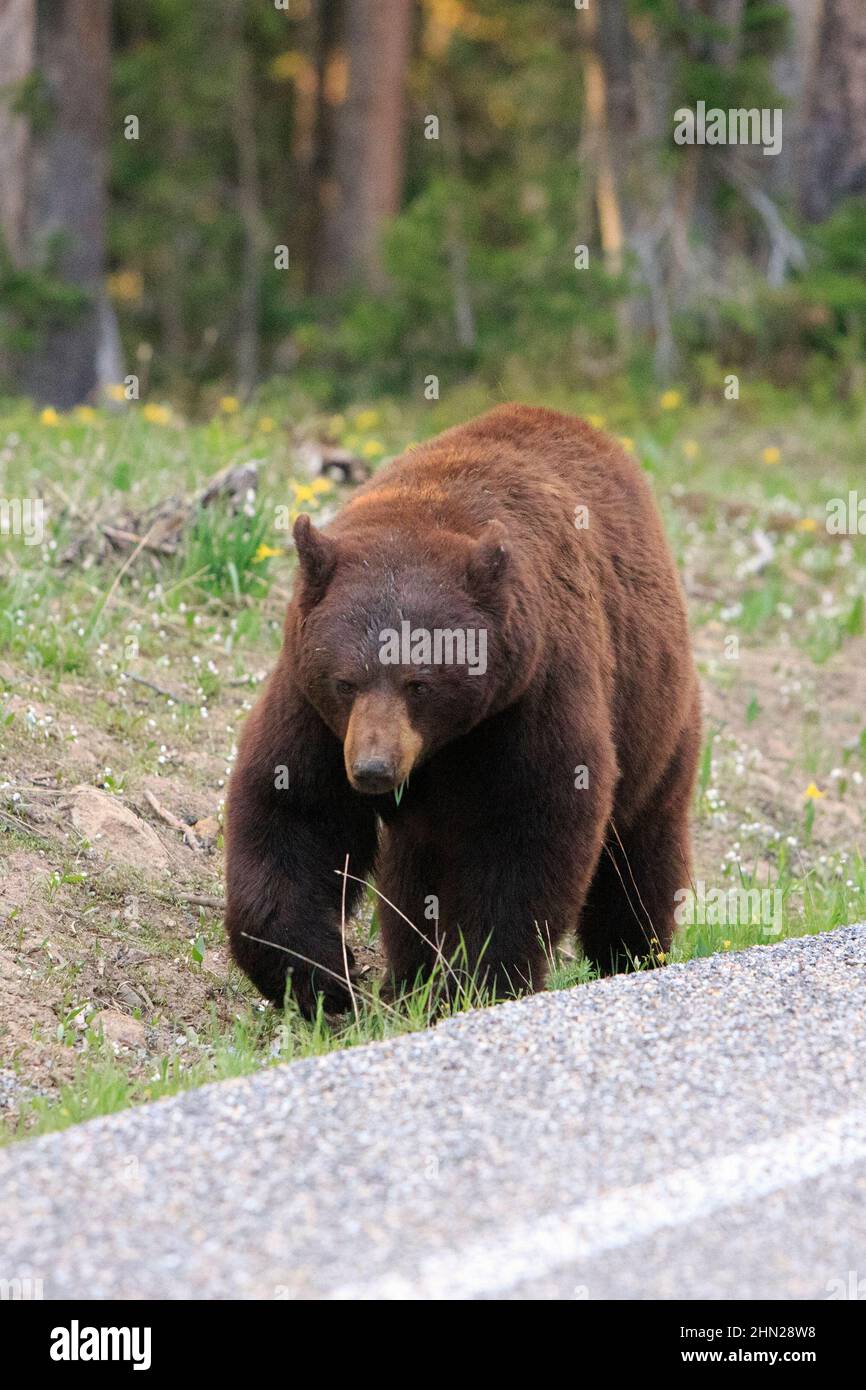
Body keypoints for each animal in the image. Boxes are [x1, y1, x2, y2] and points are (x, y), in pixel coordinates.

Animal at [226, 405, 700, 1017]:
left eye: (419, 683)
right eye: (345, 681)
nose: (373, 770)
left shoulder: (531, 696)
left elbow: (527, 834)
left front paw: (478, 983)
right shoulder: (313, 706)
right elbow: (294, 810)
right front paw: (325, 980)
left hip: (656, 719)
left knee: (639, 853)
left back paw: (633, 954)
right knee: (413, 874)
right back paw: (408, 974)